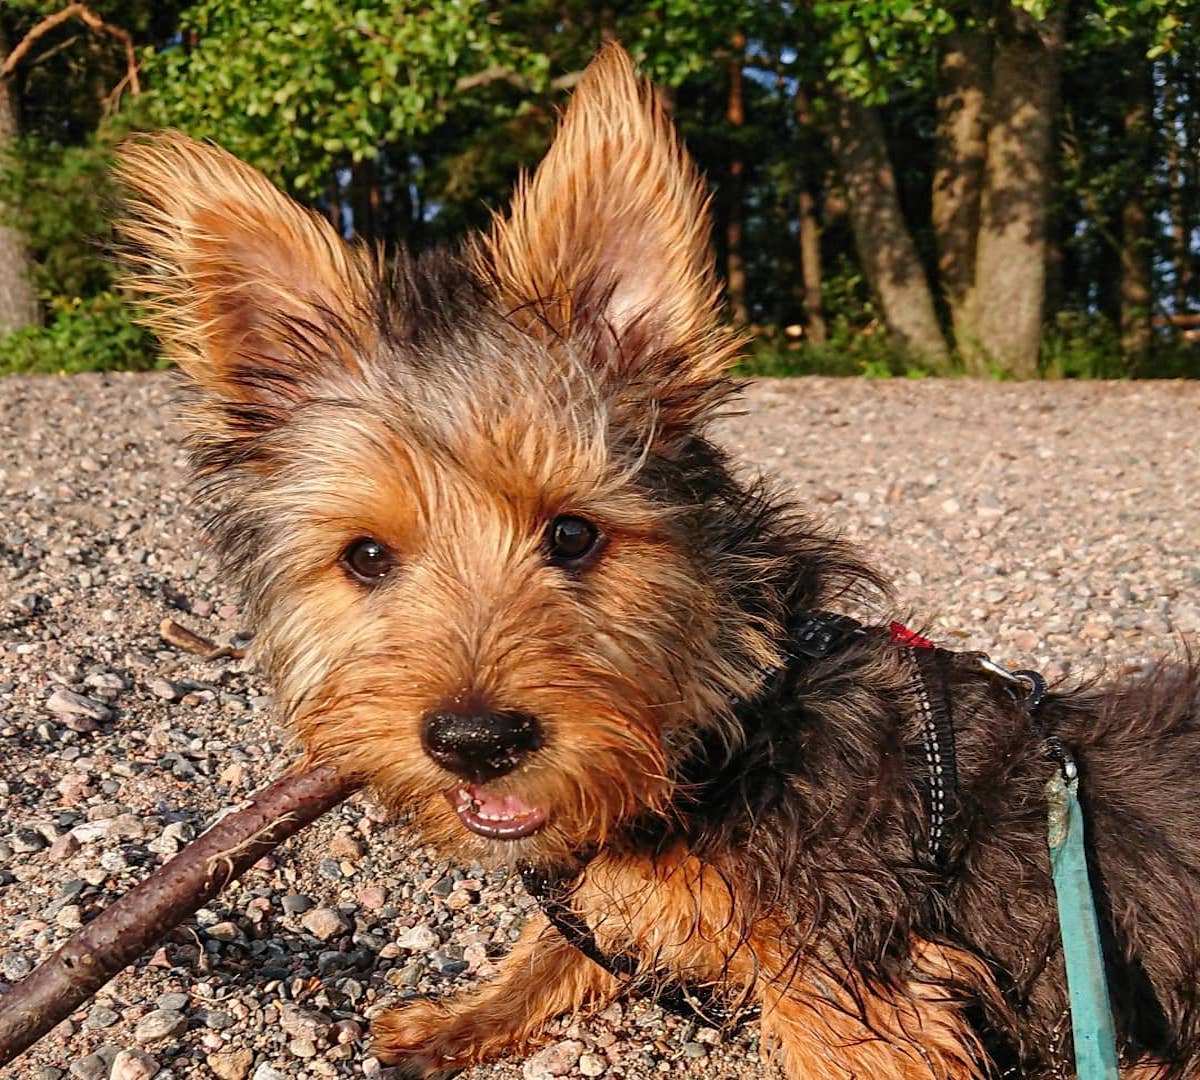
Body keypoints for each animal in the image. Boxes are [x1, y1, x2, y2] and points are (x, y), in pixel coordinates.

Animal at [117, 44, 1200, 1080]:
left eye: (573, 535)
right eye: (367, 557)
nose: (474, 740)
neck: (723, 727)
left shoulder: (861, 997)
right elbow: (553, 946)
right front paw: (463, 1018)